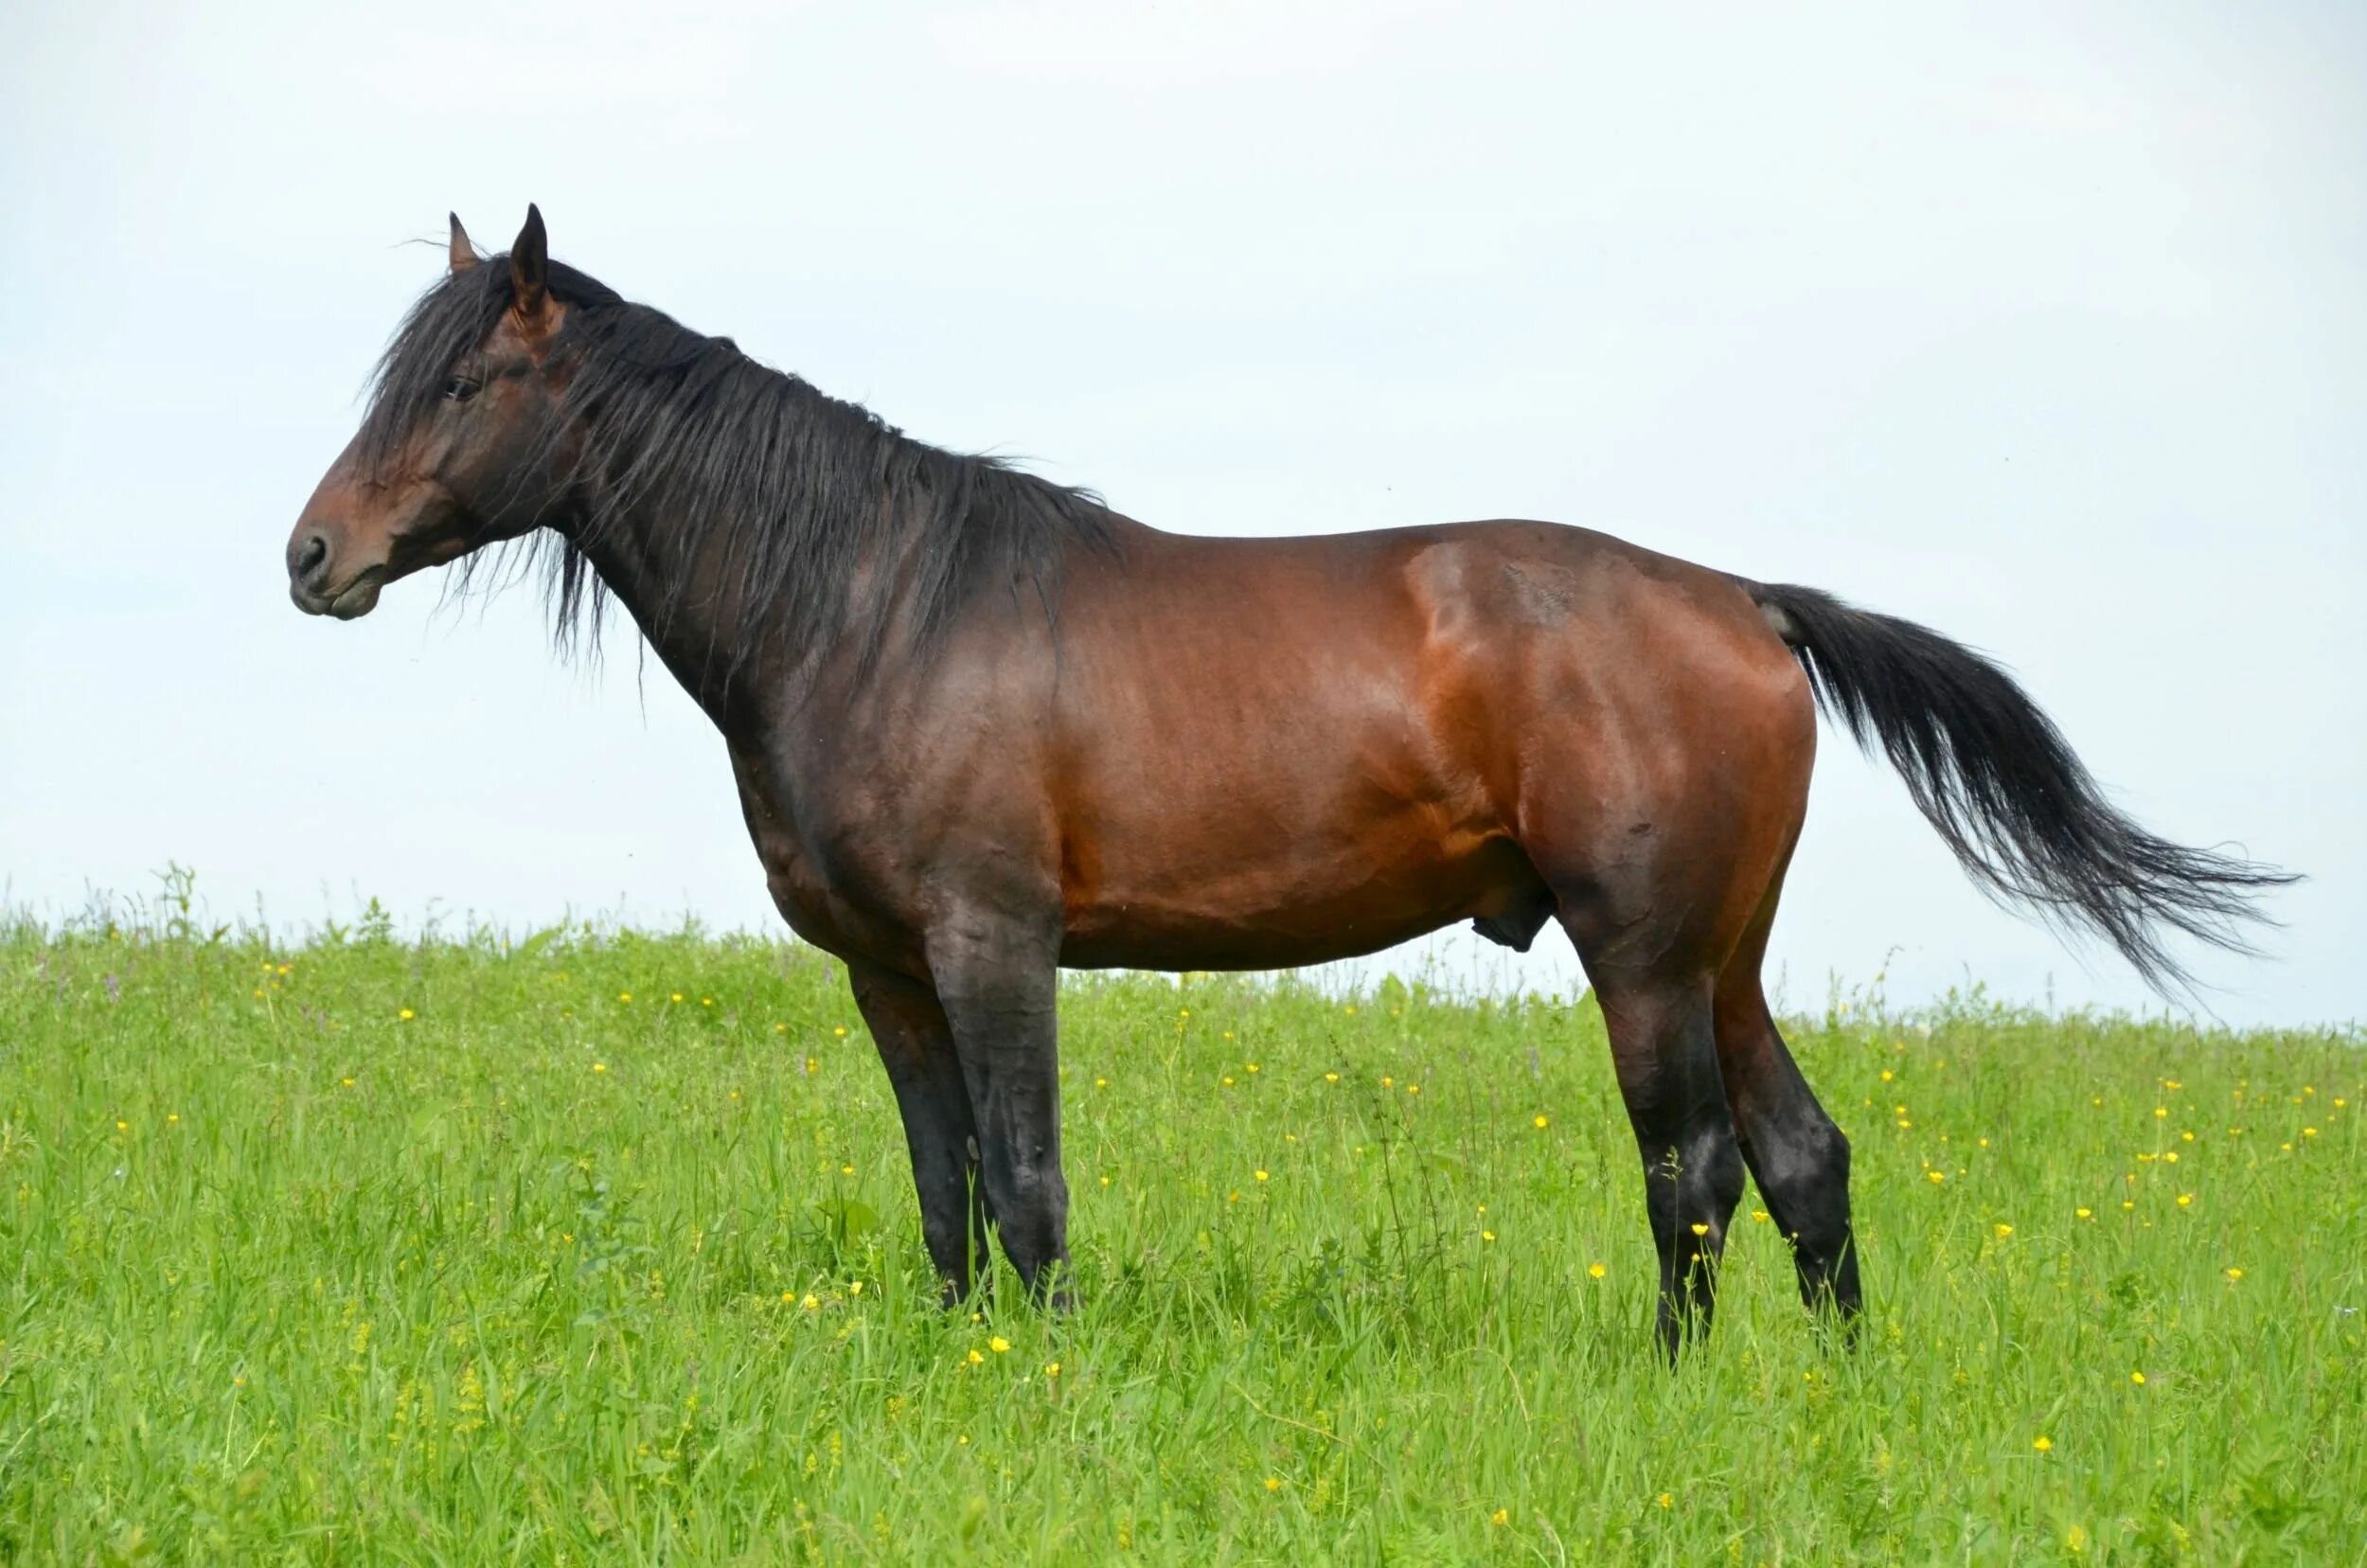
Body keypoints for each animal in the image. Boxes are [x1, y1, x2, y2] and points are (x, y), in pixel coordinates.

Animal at [281, 208, 2291, 1354]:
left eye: (461, 384)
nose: (312, 557)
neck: (871, 601)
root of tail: (1742, 600)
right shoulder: (887, 972)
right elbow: (942, 1195)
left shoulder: (995, 943)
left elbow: (1028, 1186)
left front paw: (1047, 1386)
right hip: (1725, 956)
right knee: (1803, 1161)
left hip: (1644, 956)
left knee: (1696, 1166)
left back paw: (1676, 1383)